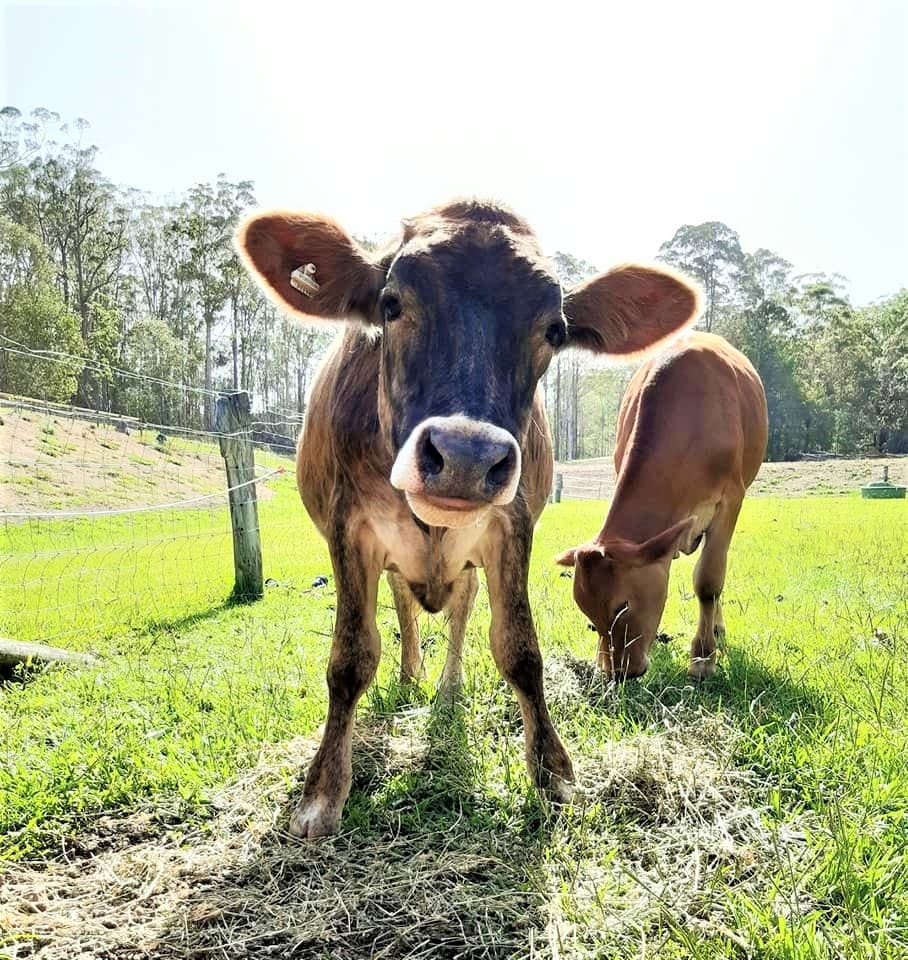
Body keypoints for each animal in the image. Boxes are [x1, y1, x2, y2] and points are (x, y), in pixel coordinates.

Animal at [236, 199, 704, 836]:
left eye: (555, 330)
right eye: (391, 303)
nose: (465, 456)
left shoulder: (512, 526)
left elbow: (519, 649)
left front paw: (552, 771)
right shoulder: (348, 528)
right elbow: (351, 657)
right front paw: (322, 792)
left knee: (458, 613)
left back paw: (449, 686)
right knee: (404, 608)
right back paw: (410, 674)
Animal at [552, 334, 768, 680]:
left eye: (622, 606)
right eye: (589, 615)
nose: (621, 672)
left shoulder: (730, 499)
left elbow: (709, 580)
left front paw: (703, 658)